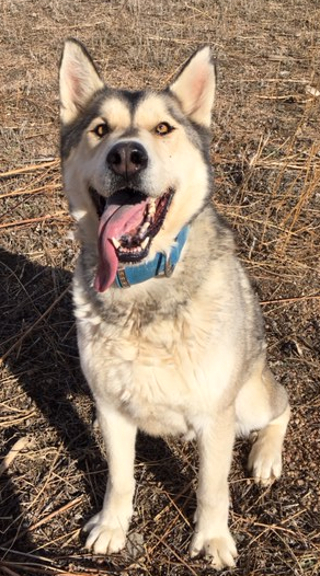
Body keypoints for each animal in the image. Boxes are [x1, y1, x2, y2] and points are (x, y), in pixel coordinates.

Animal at [58, 38, 290, 568]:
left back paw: (266, 456)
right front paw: (112, 527)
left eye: (163, 128)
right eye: (100, 129)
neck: (145, 287)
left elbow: (211, 487)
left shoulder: (216, 416)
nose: (126, 155)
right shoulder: (111, 408)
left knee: (282, 405)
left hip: (249, 397)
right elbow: (120, 477)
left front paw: (213, 539)